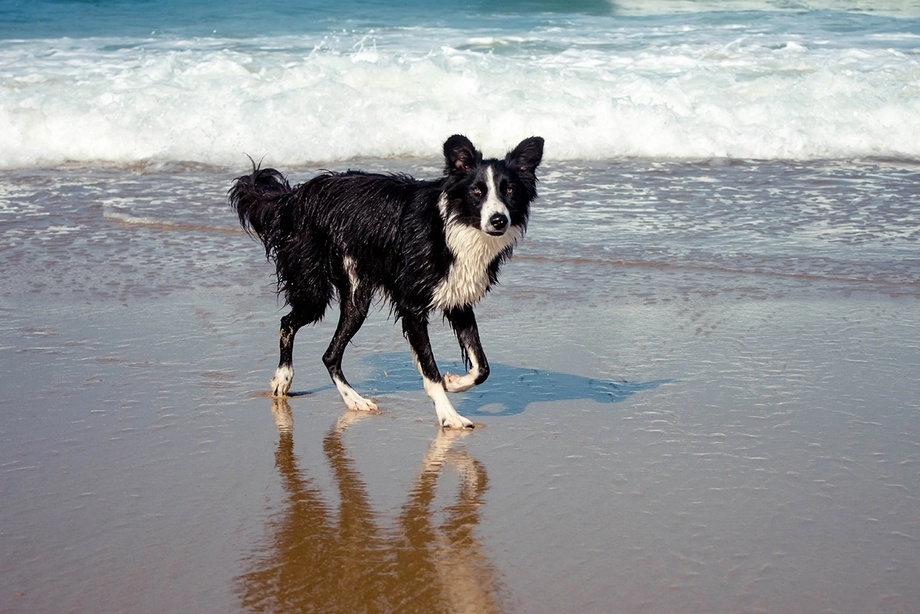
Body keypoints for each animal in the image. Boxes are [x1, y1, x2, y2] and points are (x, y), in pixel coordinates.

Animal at [230, 137, 544, 430]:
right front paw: (449, 415)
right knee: (289, 324)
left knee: (330, 354)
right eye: (477, 191)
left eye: (510, 190)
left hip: (355, 300)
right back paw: (284, 378)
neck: (453, 228)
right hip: (314, 288)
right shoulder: (412, 306)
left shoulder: (458, 300)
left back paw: (354, 400)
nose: (499, 220)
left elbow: (482, 368)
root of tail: (295, 196)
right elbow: (430, 369)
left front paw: (453, 381)